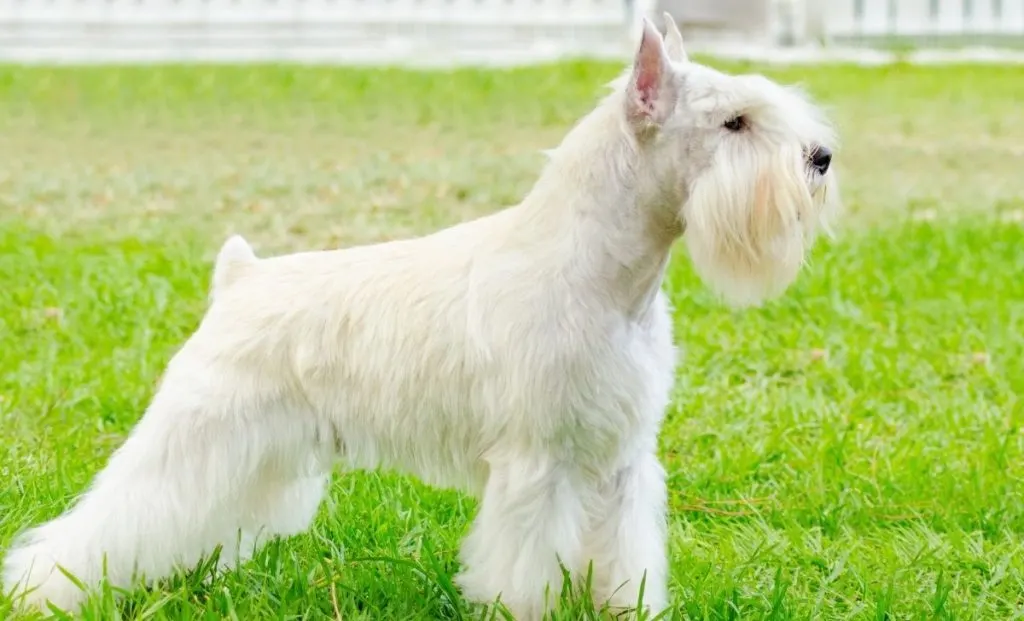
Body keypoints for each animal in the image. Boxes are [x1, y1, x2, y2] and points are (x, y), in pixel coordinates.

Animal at [4, 15, 835, 621]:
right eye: (734, 123)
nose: (821, 157)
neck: (603, 273)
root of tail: (240, 276)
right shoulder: (538, 466)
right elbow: (526, 569)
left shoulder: (621, 459)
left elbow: (623, 560)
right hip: (193, 436)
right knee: (112, 516)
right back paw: (44, 588)